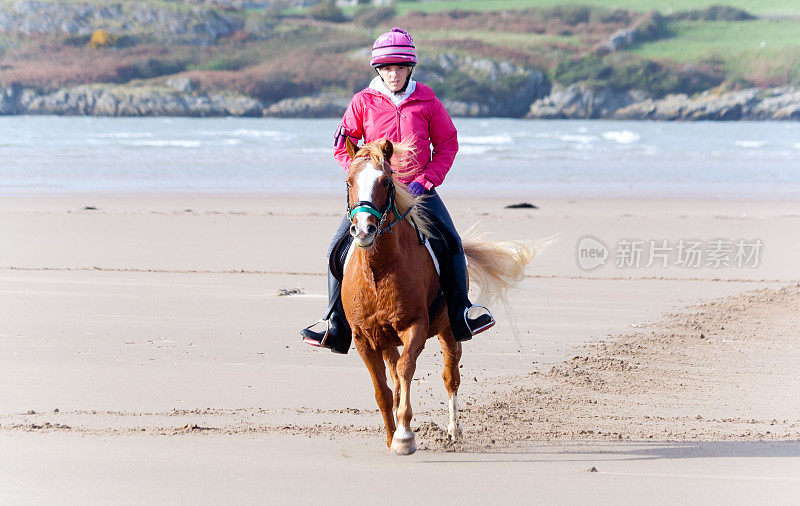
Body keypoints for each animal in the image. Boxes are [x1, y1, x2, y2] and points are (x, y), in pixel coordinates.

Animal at [340, 138, 536, 454]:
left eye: (386, 181)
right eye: (349, 181)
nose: (364, 229)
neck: (379, 271)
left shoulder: (415, 326)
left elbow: (406, 370)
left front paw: (404, 437)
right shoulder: (364, 339)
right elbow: (383, 390)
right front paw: (391, 436)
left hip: (449, 331)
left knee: (450, 378)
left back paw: (454, 431)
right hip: (387, 340)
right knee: (395, 376)